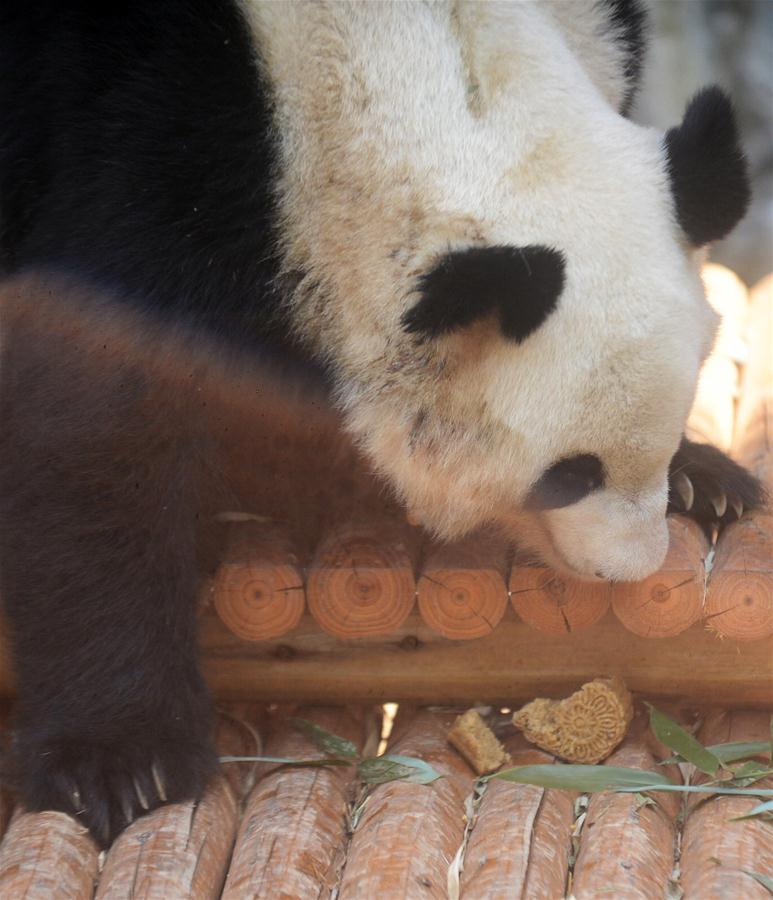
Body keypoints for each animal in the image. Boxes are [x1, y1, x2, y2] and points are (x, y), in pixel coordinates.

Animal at [0, 0, 760, 844]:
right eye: (568, 474)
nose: (627, 569)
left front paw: (702, 477)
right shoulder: (145, 145)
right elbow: (94, 423)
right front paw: (125, 761)